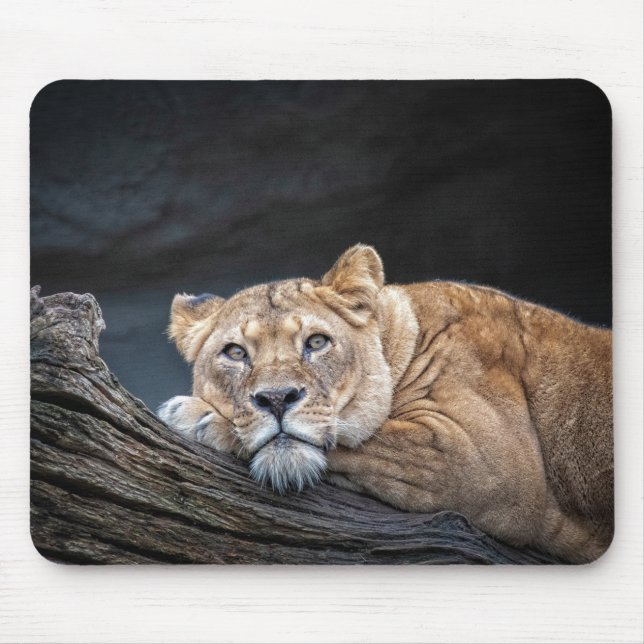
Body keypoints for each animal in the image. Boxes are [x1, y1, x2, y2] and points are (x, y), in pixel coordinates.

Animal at [157, 244, 613, 563]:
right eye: (235, 353)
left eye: (316, 342)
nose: (276, 398)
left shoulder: (488, 458)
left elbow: (364, 438)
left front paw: (195, 416)